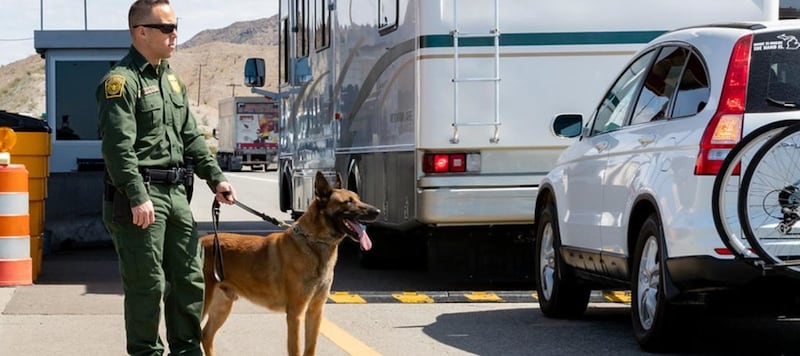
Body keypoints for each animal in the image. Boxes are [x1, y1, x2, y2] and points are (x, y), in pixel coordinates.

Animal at [197, 171, 378, 354]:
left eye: (358, 198)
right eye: (348, 201)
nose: (377, 211)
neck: (314, 242)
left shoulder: (315, 312)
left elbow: (310, 348)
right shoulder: (295, 314)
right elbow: (296, 349)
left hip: (222, 306)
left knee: (206, 335)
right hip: (203, 305)